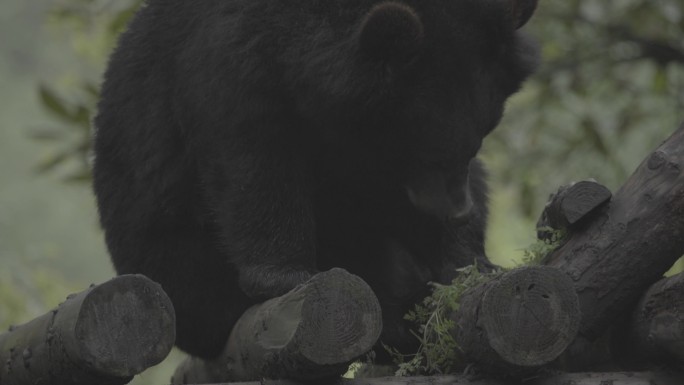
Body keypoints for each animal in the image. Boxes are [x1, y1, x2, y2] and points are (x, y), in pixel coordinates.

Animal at [92, 0, 540, 360]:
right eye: (428, 154)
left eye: (481, 137)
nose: (459, 213)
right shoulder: (232, 66)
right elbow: (254, 166)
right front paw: (288, 276)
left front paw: (468, 263)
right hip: (173, 262)